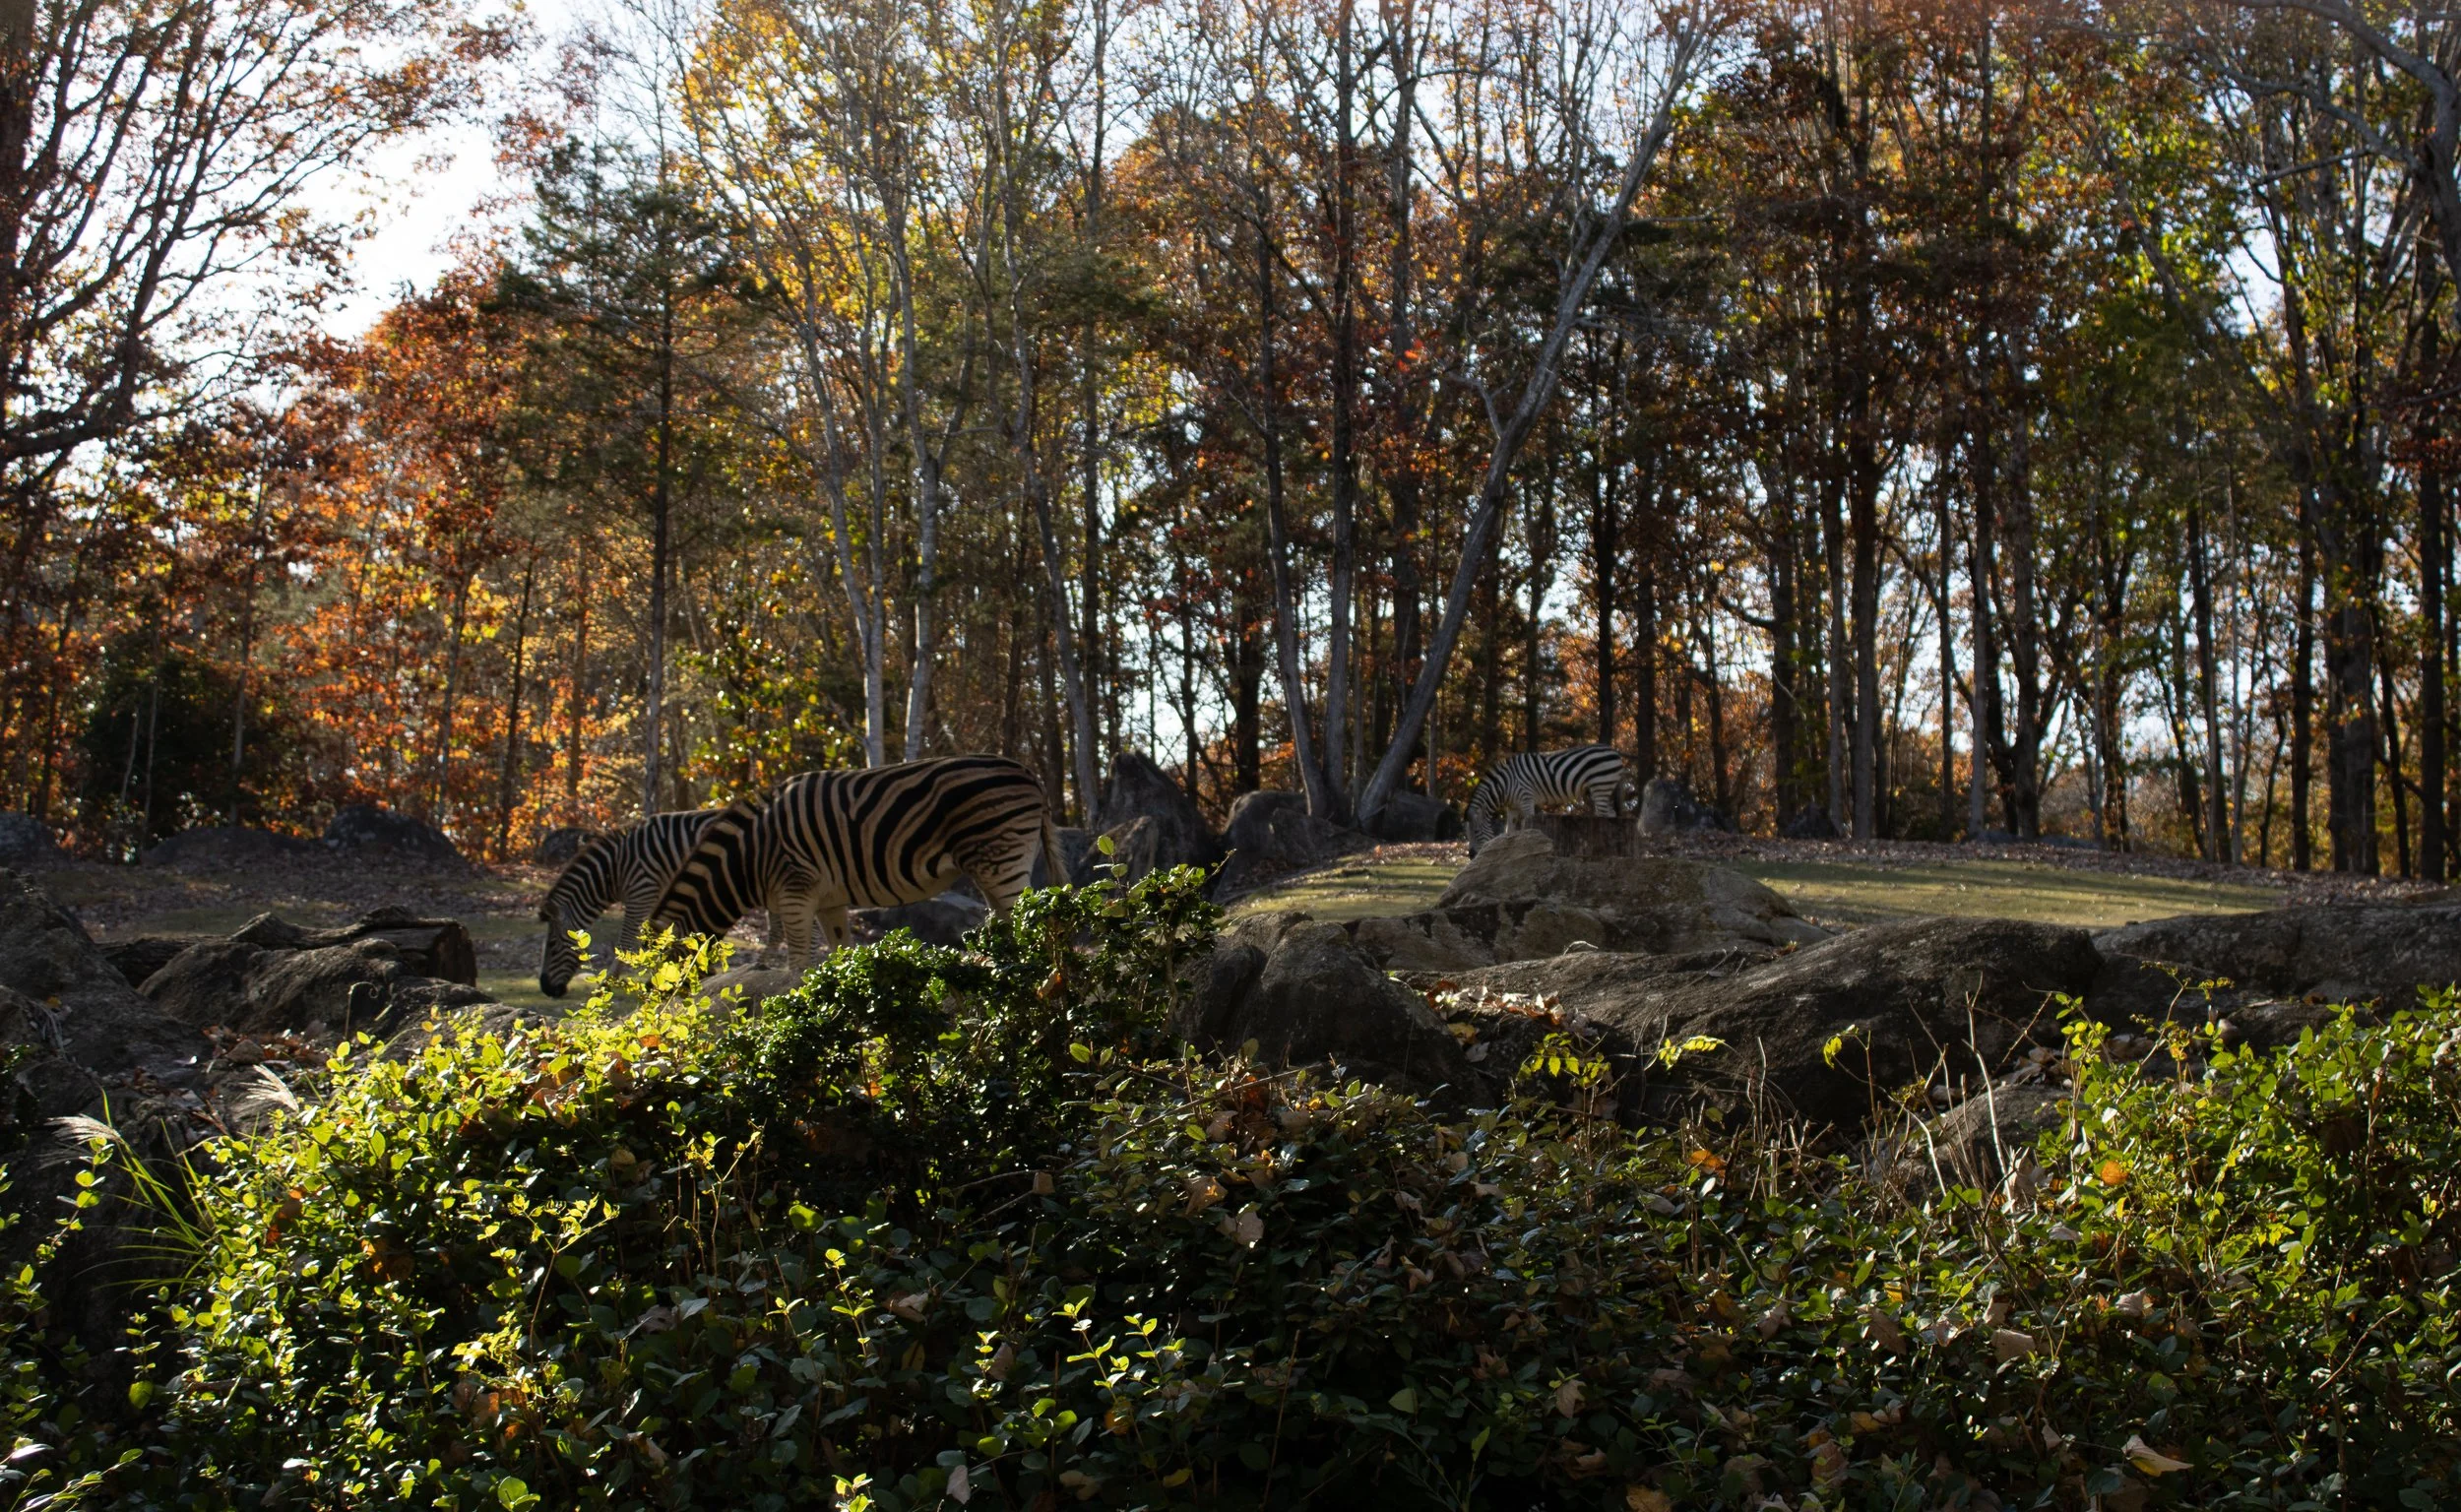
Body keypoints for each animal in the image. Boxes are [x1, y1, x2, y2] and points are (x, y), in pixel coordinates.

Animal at [536, 808, 780, 997]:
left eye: (553, 945)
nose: (546, 989)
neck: (614, 870)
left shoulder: (642, 893)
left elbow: (626, 943)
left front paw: (607, 985)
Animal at [650, 755, 1063, 970]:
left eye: (660, 968)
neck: (749, 857)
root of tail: (1028, 773)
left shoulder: (796, 892)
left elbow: (798, 964)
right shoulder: (827, 902)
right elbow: (837, 957)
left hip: (1001, 859)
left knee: (1031, 926)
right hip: (997, 865)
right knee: (1016, 924)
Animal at [1463, 744, 1638, 855]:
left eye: (1476, 832)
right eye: (1467, 834)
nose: (1471, 856)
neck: (1504, 785)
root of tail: (1614, 751)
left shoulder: (1526, 799)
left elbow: (1526, 825)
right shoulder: (1512, 807)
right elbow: (1509, 831)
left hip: (1600, 786)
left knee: (1604, 817)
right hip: (1602, 789)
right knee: (1611, 815)